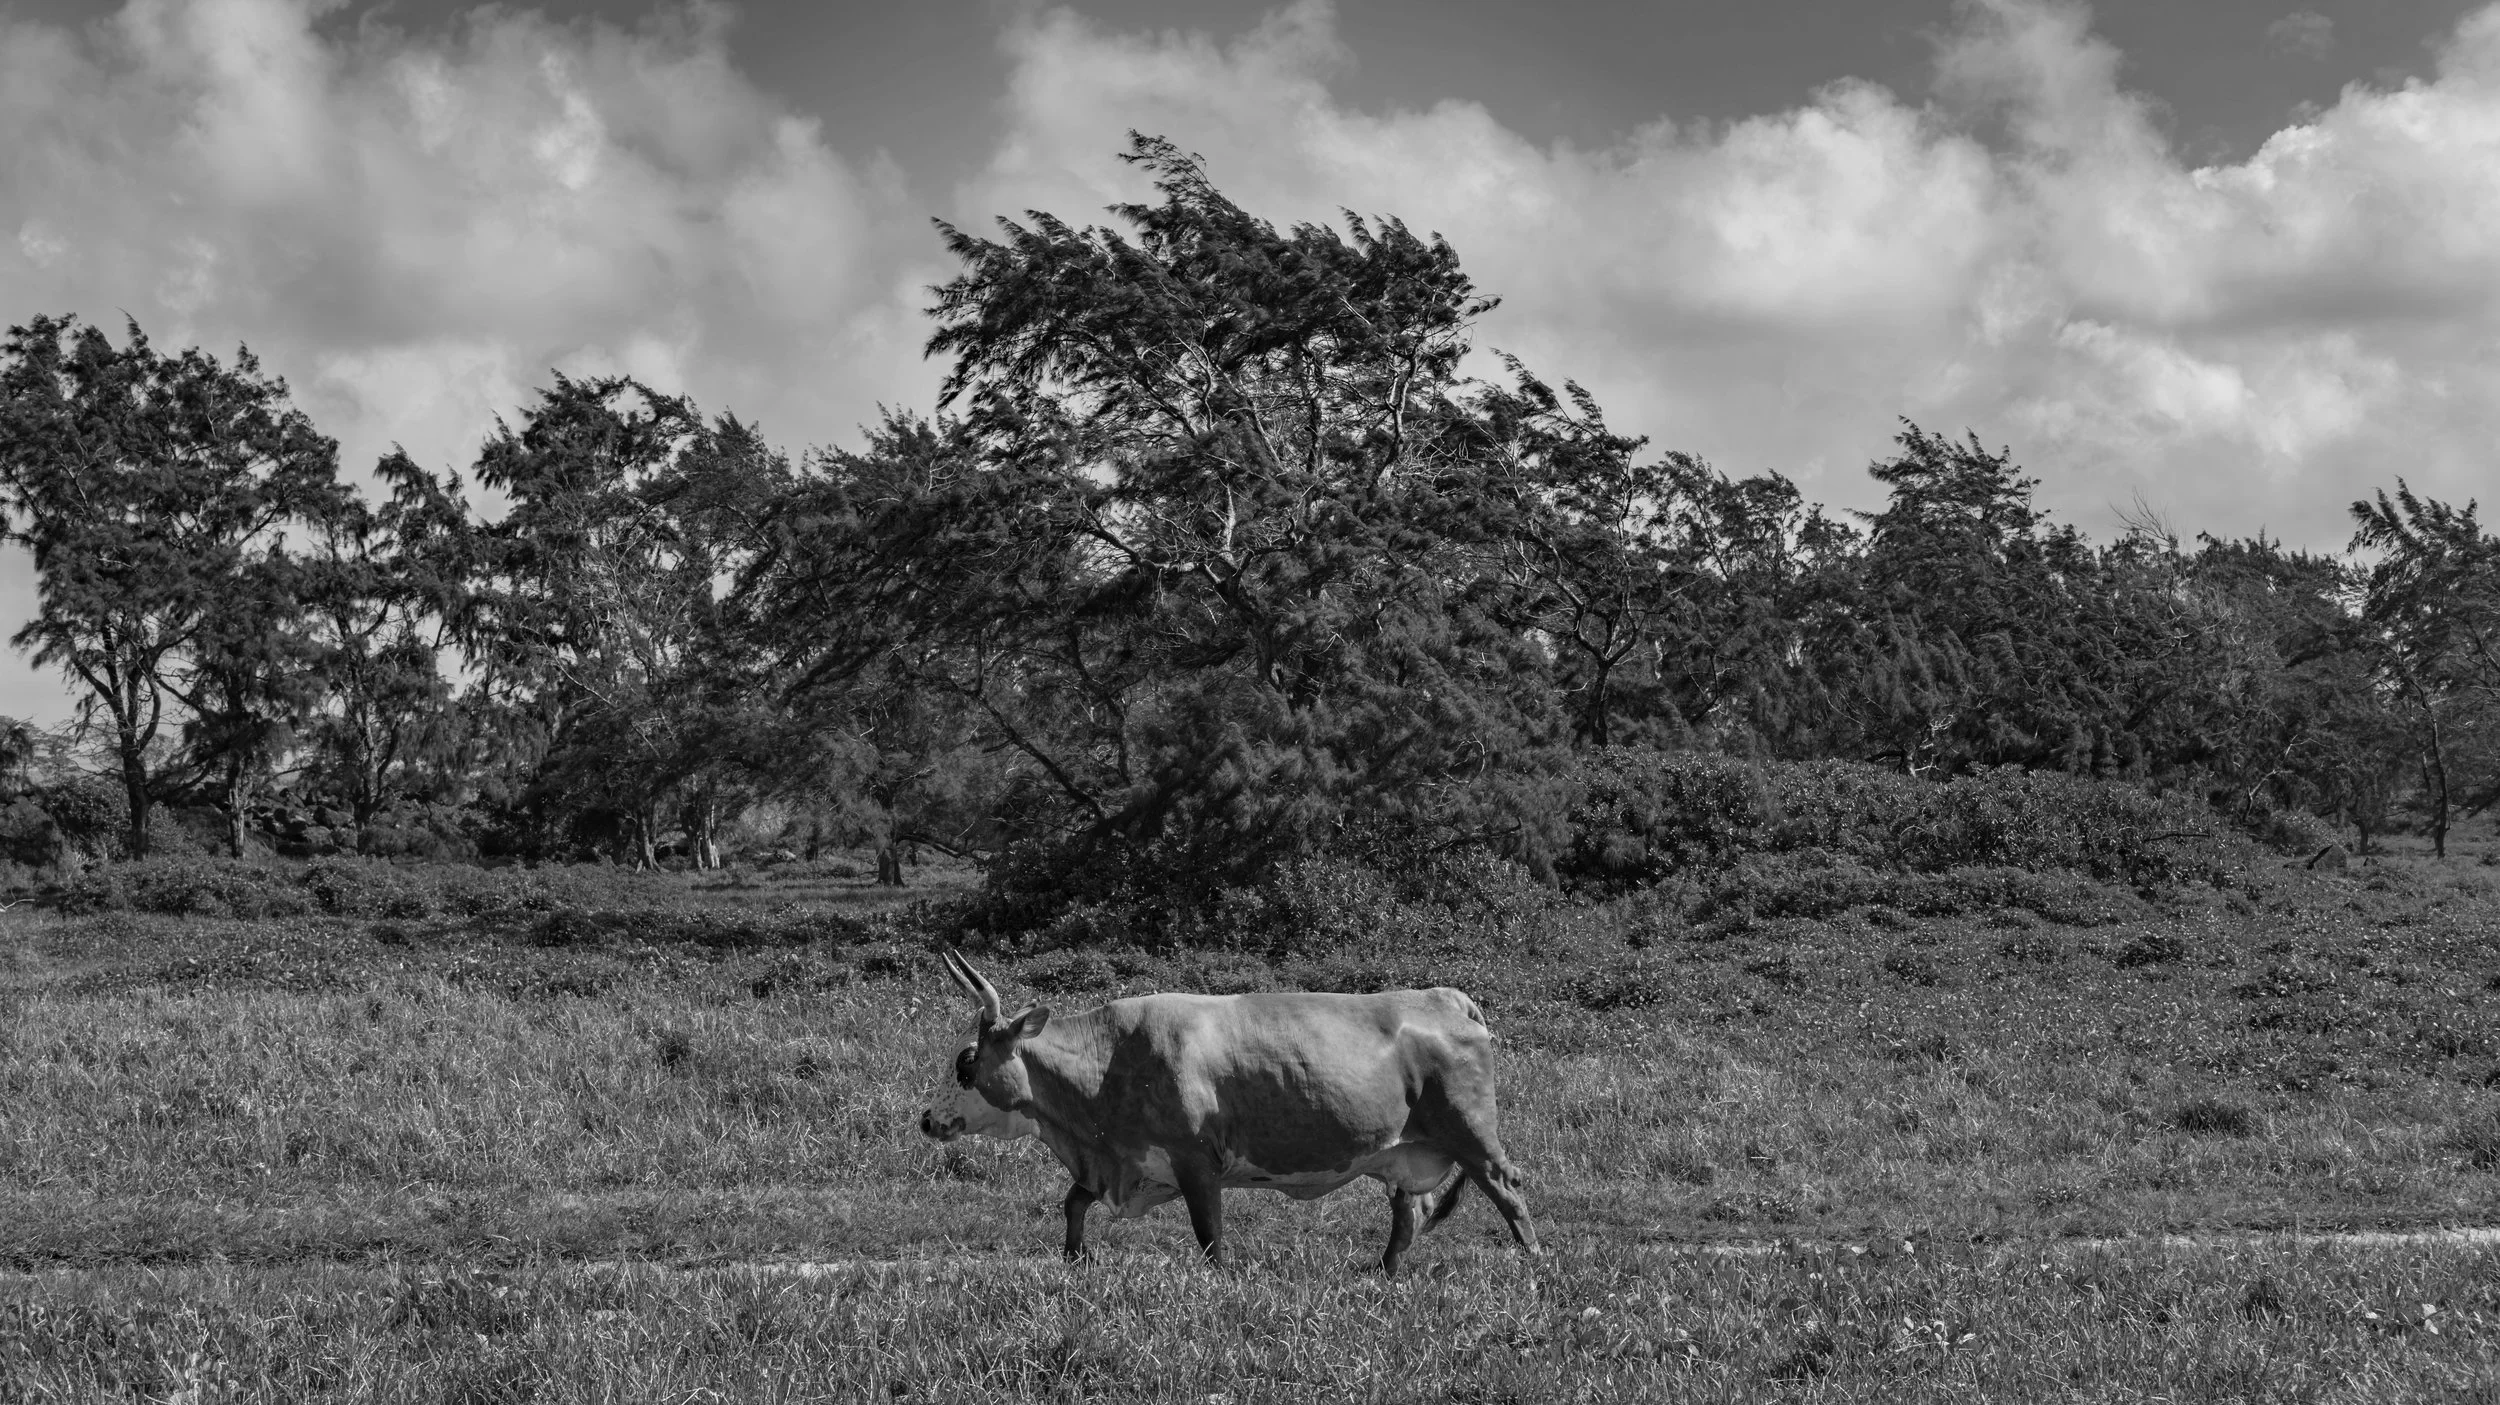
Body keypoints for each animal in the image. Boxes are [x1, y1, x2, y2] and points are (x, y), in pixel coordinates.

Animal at [918, 949, 1537, 1272]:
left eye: (966, 1061)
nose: (926, 1119)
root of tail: (1445, 996)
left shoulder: (1195, 1161)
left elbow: (1208, 1232)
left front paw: (1219, 1278)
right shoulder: (1122, 1161)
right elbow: (1073, 1202)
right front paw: (1075, 1258)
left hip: (1474, 1138)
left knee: (1508, 1191)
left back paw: (1532, 1265)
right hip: (1403, 1155)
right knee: (1407, 1216)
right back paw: (1380, 1273)